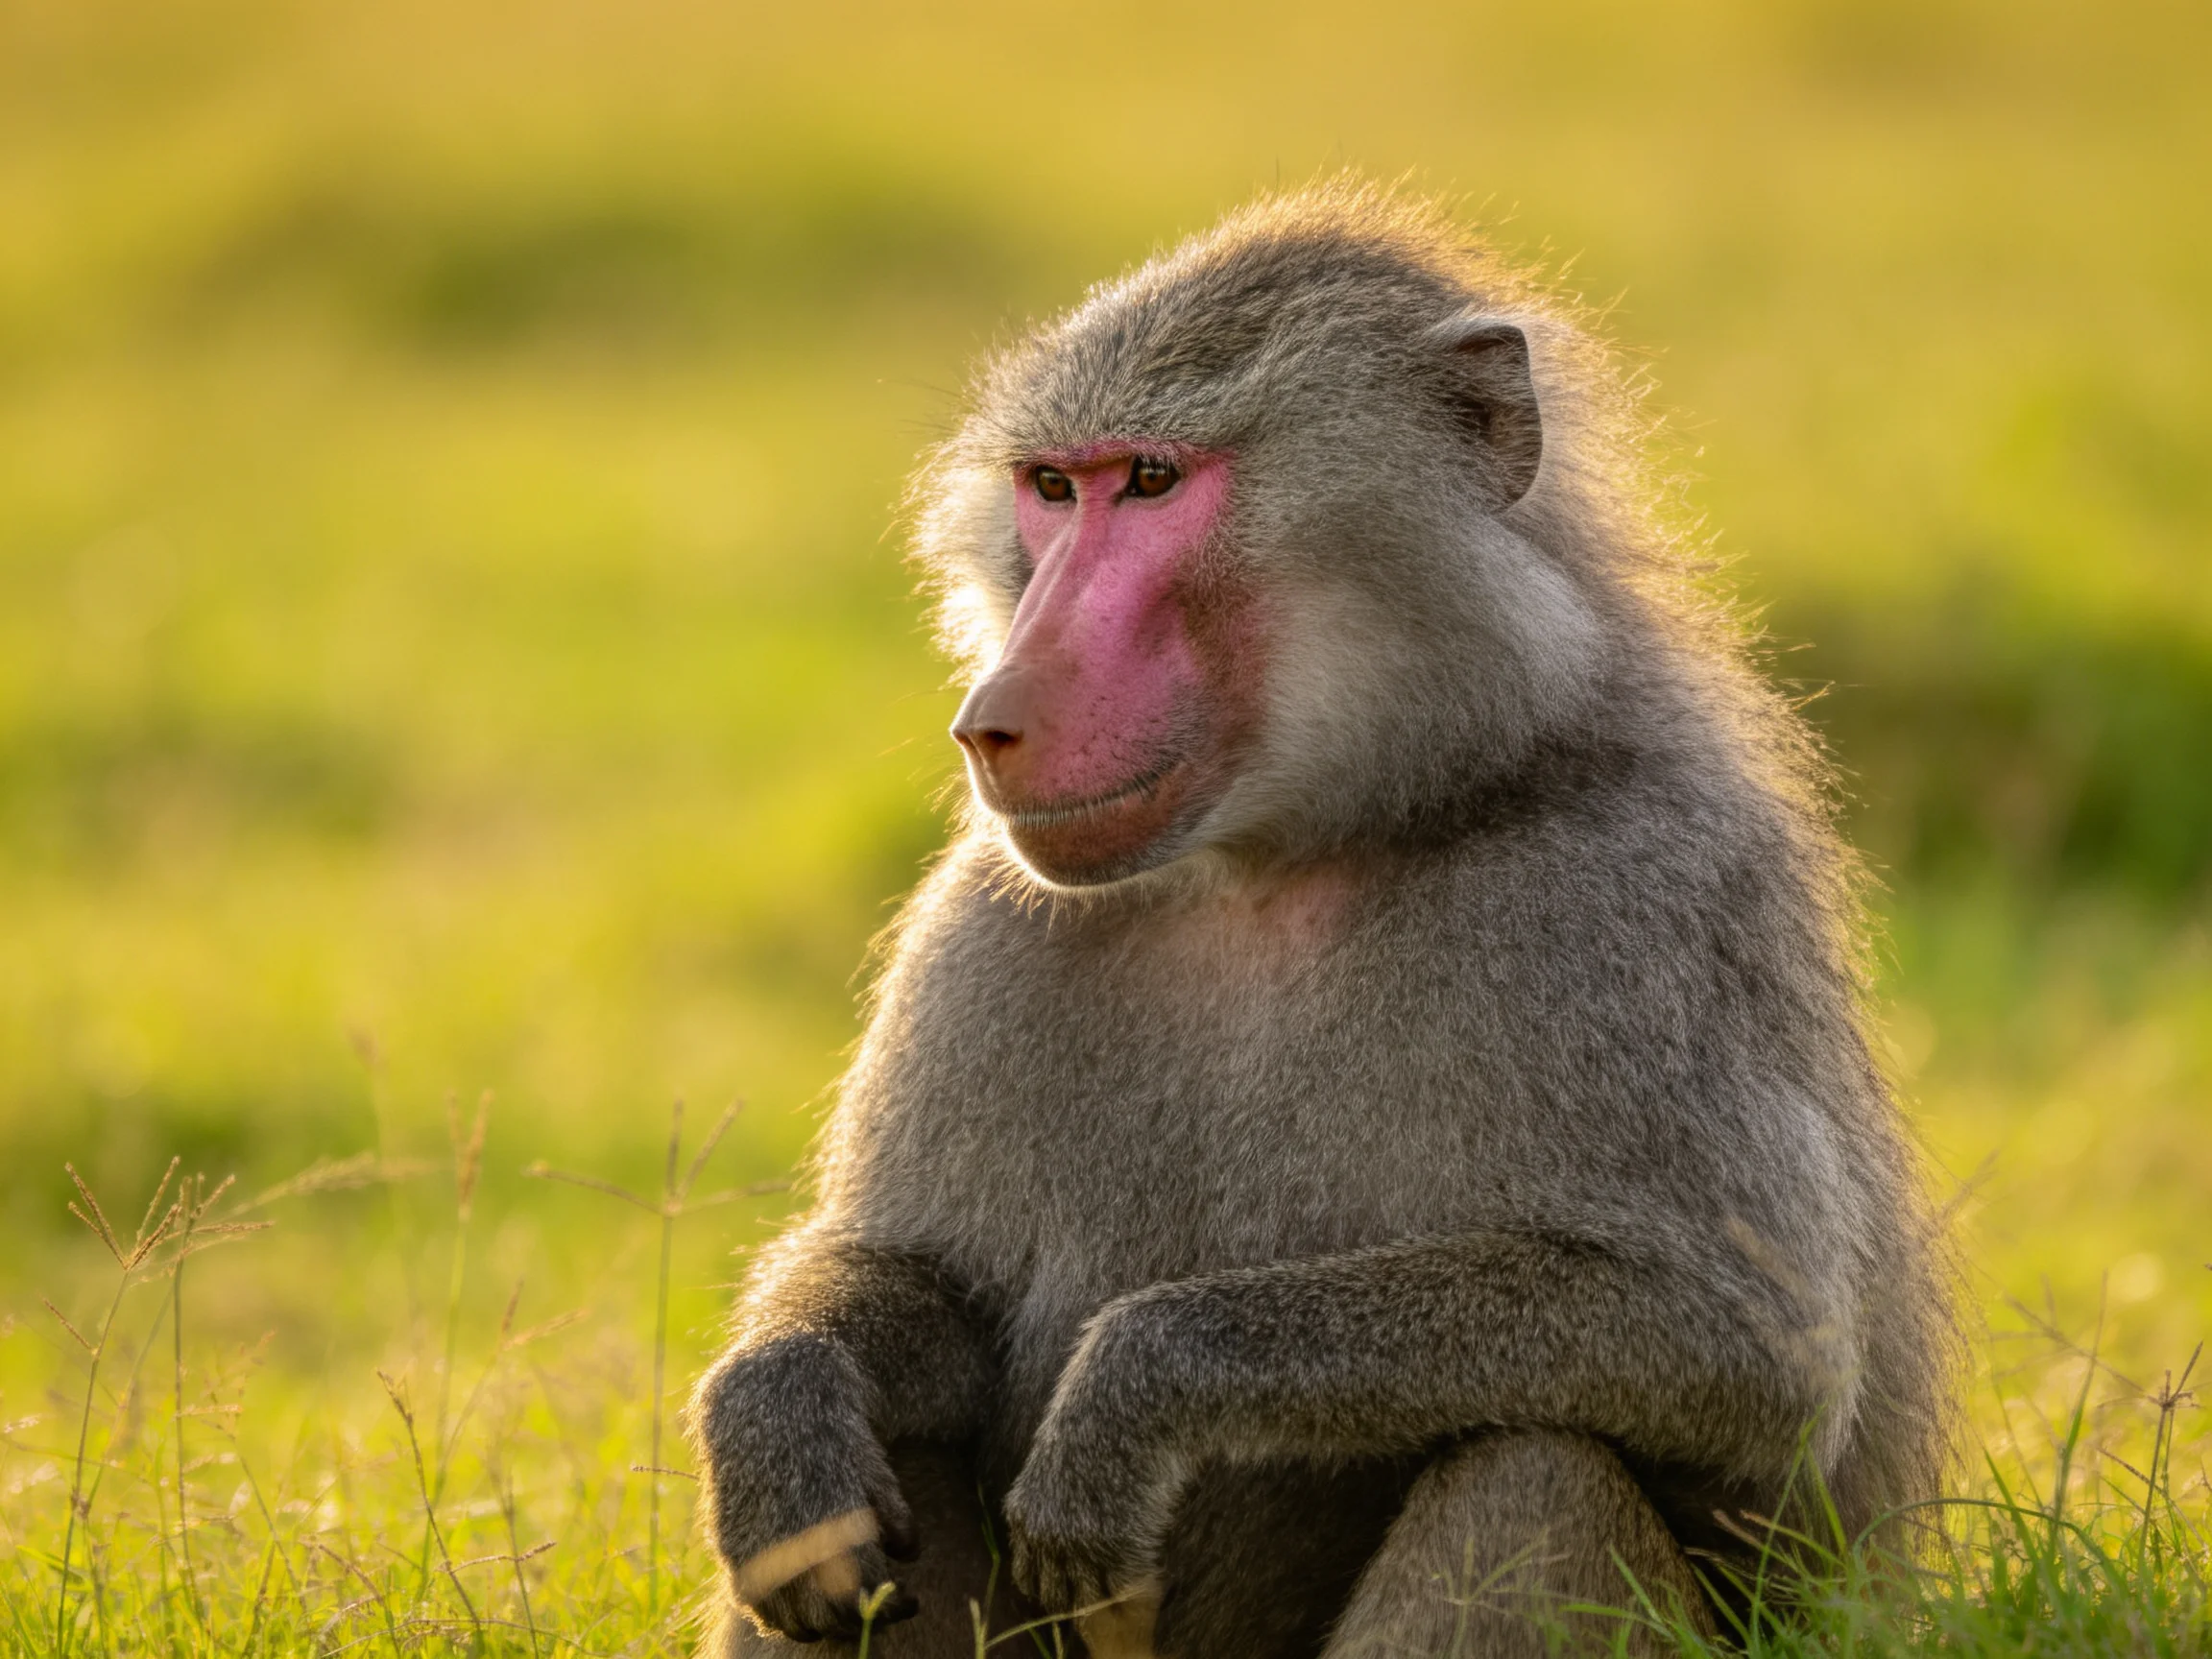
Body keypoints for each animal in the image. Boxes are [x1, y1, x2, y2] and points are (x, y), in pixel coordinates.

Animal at [688, 181, 1957, 1659]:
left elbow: (1759, 1351)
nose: (991, 721)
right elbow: (918, 1292)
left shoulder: (1648, 891)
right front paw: (778, 1409)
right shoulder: (981, 927)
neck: (1286, 856)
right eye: (1053, 488)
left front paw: (1135, 1392)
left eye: (1154, 482)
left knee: (1532, 1470)